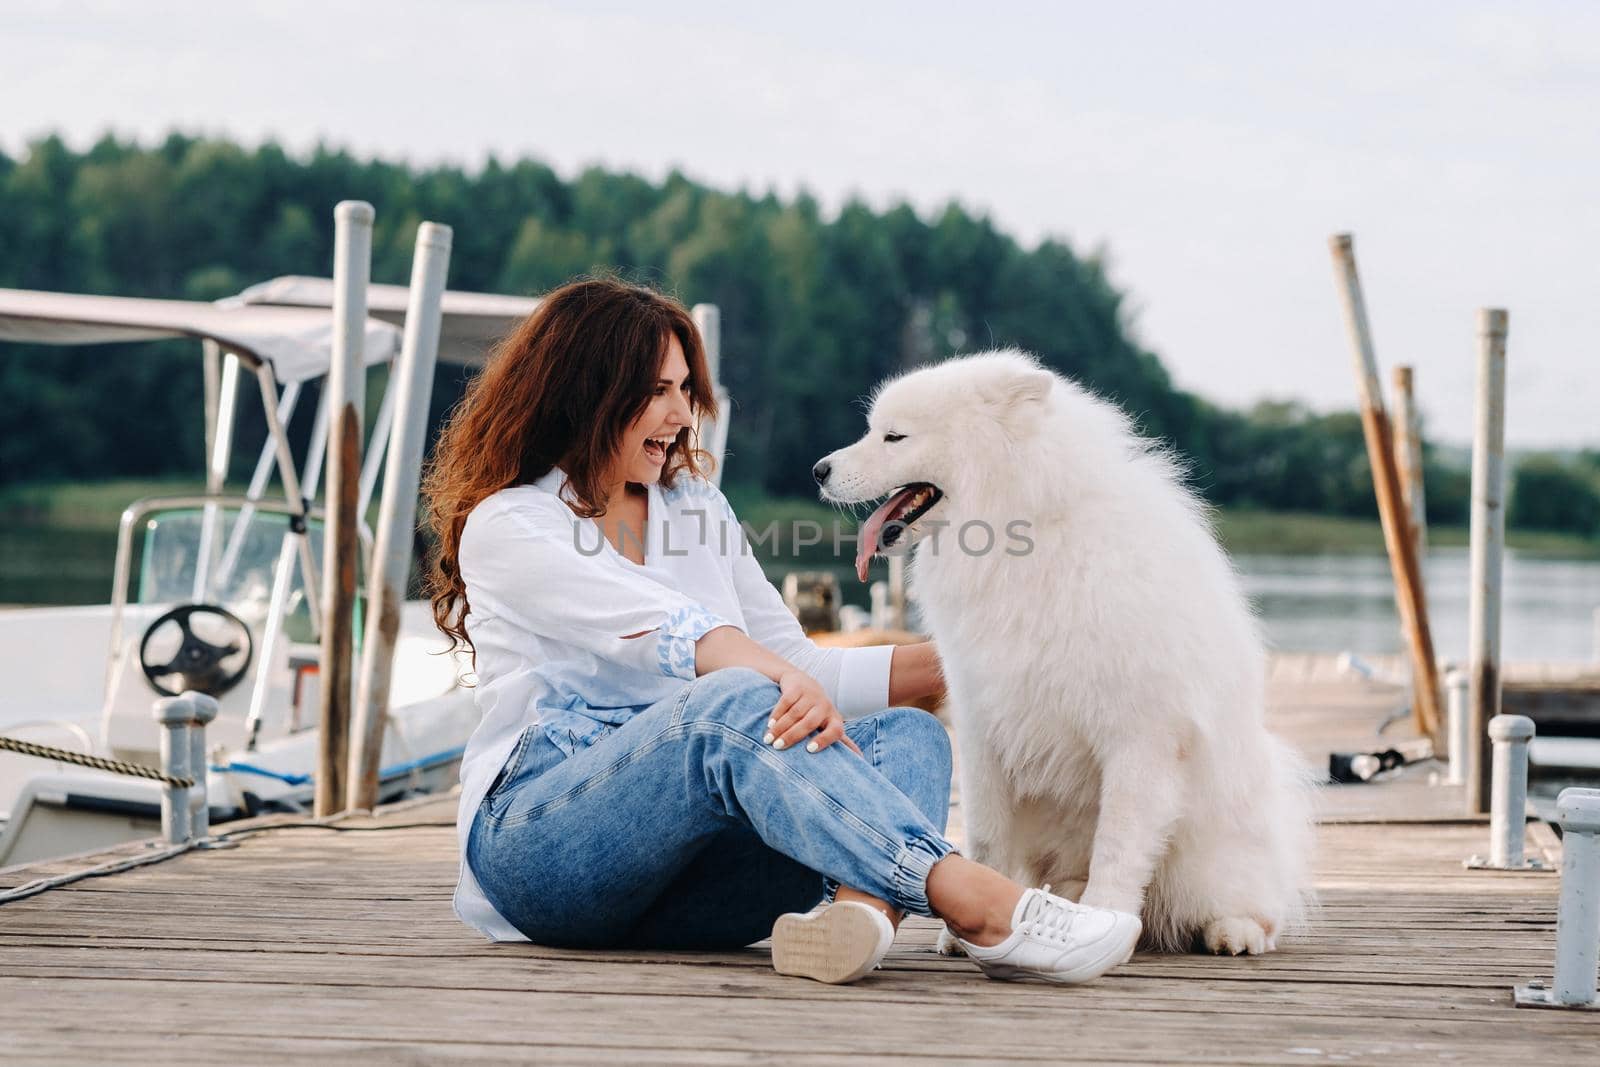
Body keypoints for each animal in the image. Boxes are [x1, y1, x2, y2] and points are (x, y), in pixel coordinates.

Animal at [812, 351, 1312, 959]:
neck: (1022, 534)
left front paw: (1106, 918)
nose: (818, 470)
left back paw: (1232, 931)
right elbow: (986, 834)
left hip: (1215, 845)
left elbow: (1119, 845)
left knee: (1251, 901)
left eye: (894, 436)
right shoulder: (982, 721)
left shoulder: (1140, 738)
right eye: (873, 430)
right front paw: (966, 930)